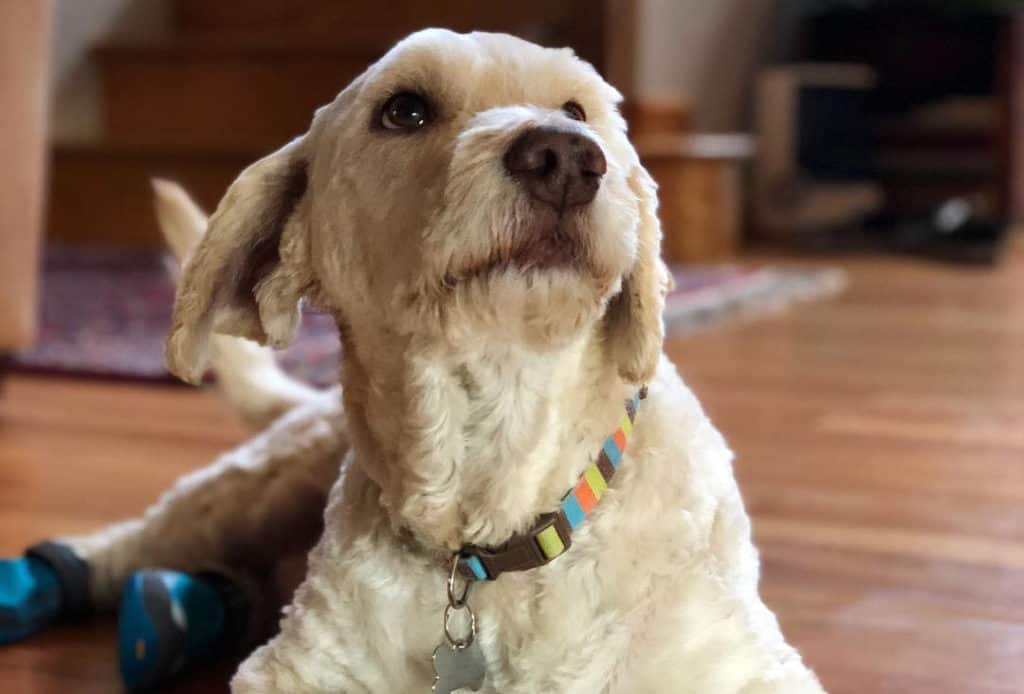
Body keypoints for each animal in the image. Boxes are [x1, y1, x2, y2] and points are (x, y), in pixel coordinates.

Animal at [58, 29, 823, 691]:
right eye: (404, 110)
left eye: (577, 111)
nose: (565, 157)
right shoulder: (299, 671)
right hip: (244, 495)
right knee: (126, 544)